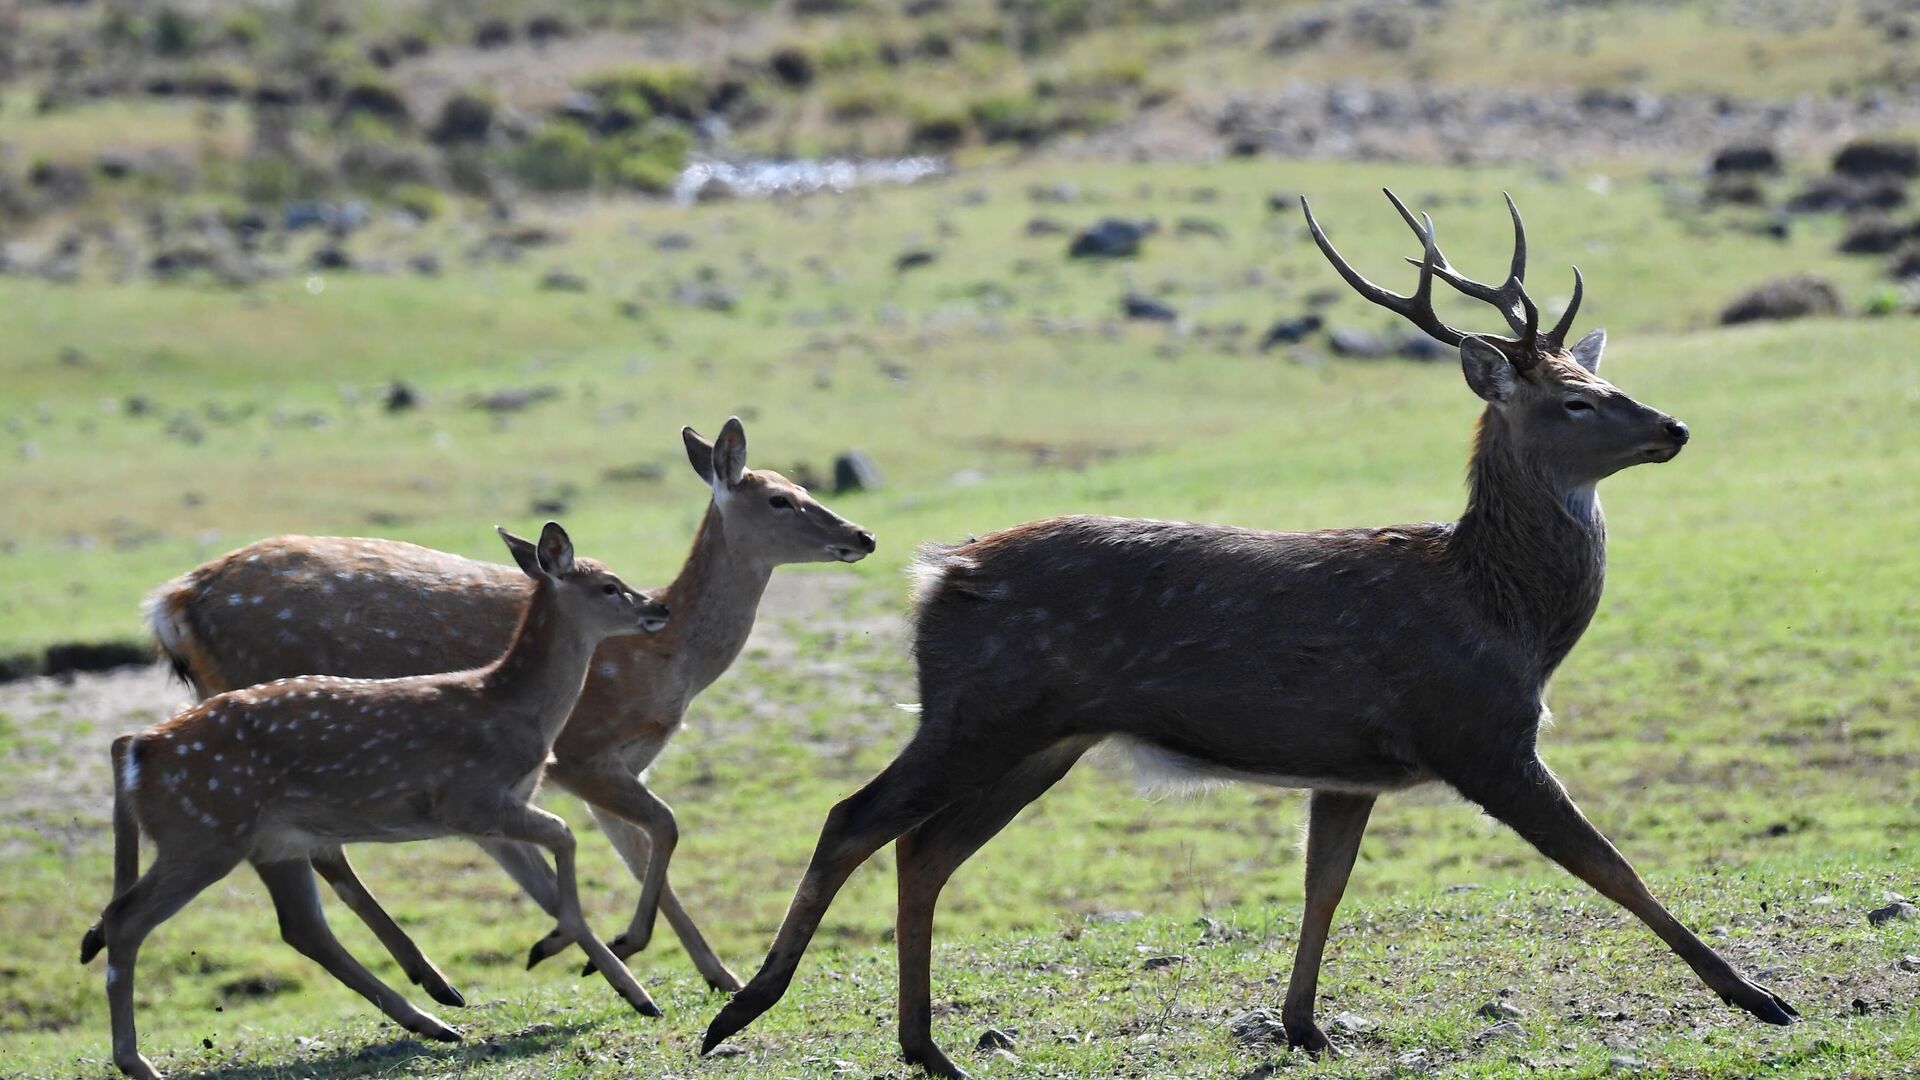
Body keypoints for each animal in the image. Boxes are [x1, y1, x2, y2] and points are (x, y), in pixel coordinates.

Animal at [86, 518, 679, 1068]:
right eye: (609, 585)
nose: (659, 609)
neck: (513, 706)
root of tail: (137, 753)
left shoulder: (492, 810)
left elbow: (555, 862)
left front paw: (631, 990)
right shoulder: (468, 797)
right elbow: (565, 837)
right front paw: (562, 947)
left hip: (264, 839)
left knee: (298, 925)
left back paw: (437, 1020)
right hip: (203, 832)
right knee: (126, 918)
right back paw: (135, 1061)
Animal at [140, 417, 879, 1006]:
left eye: (804, 486)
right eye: (782, 498)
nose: (864, 534)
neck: (667, 665)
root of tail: (173, 603)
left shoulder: (614, 766)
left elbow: (644, 853)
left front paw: (715, 973)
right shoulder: (583, 752)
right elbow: (664, 831)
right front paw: (627, 947)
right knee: (323, 855)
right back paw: (436, 981)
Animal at [702, 189, 1797, 1068]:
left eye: (1609, 381)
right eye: (1575, 399)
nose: (1673, 427)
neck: (1506, 616)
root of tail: (938, 573)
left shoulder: (1351, 765)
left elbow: (1325, 886)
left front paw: (1305, 1024)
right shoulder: (1477, 734)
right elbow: (1610, 864)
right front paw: (1757, 996)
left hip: (1042, 737)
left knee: (923, 850)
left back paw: (926, 1048)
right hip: (979, 711)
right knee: (854, 818)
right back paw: (745, 1012)